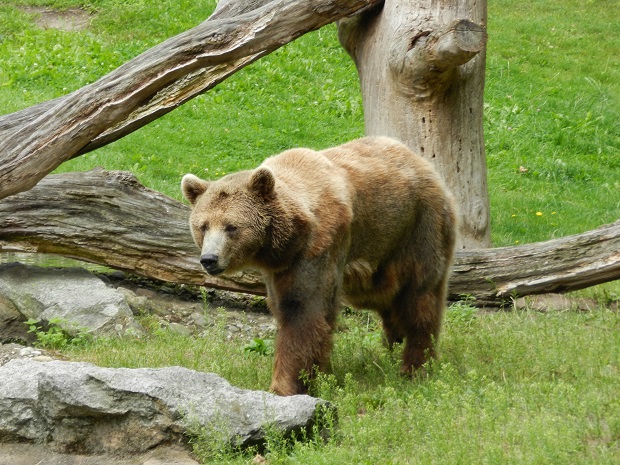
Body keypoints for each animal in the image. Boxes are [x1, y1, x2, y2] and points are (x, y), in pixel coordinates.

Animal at [182, 136, 458, 394]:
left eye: (232, 227)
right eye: (203, 226)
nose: (209, 259)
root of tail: (421, 161)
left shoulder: (318, 246)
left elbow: (303, 310)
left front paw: (286, 385)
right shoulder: (279, 267)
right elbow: (285, 306)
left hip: (418, 227)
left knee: (420, 297)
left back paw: (415, 366)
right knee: (388, 299)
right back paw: (392, 347)